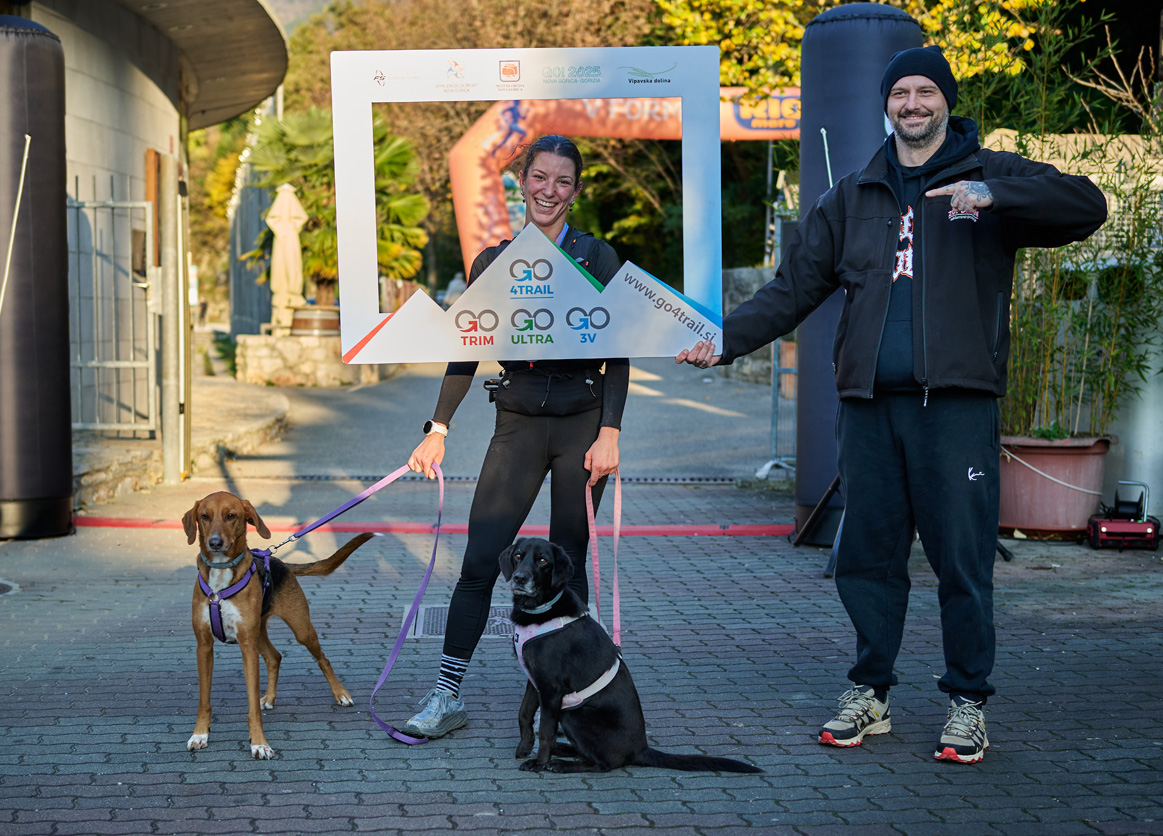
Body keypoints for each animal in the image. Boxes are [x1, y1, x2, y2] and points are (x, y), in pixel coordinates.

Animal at [183, 491, 374, 759]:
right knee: (274, 657)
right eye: (204, 516)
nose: (215, 543)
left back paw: (341, 694)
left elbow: (252, 705)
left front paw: (259, 743)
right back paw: (270, 697)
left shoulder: (247, 649)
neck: (221, 577)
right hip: (259, 633)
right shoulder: (204, 646)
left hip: (301, 629)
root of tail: (278, 561)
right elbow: (204, 700)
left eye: (231, 516)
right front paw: (200, 734)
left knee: (322, 659)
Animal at [499, 536, 763, 774]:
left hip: (574, 713)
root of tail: (641, 749)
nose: (519, 578)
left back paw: (560, 763)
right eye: (518, 556)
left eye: (543, 560)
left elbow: (545, 730)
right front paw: (525, 747)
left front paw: (538, 762)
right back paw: (562, 749)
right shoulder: (535, 680)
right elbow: (524, 713)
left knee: (604, 763)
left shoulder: (551, 689)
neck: (540, 609)